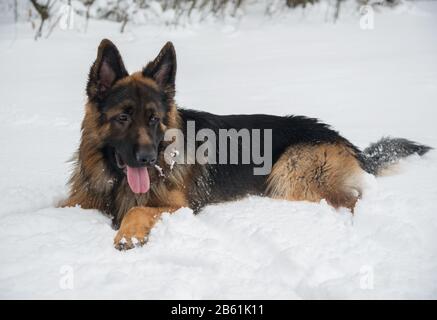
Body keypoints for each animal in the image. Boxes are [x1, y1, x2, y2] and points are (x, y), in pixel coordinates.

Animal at [63, 39, 430, 250]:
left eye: (154, 119)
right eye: (123, 118)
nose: (148, 158)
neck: (115, 181)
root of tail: (340, 137)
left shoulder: (178, 207)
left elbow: (138, 208)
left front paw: (127, 234)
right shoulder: (77, 202)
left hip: (290, 174)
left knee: (353, 198)